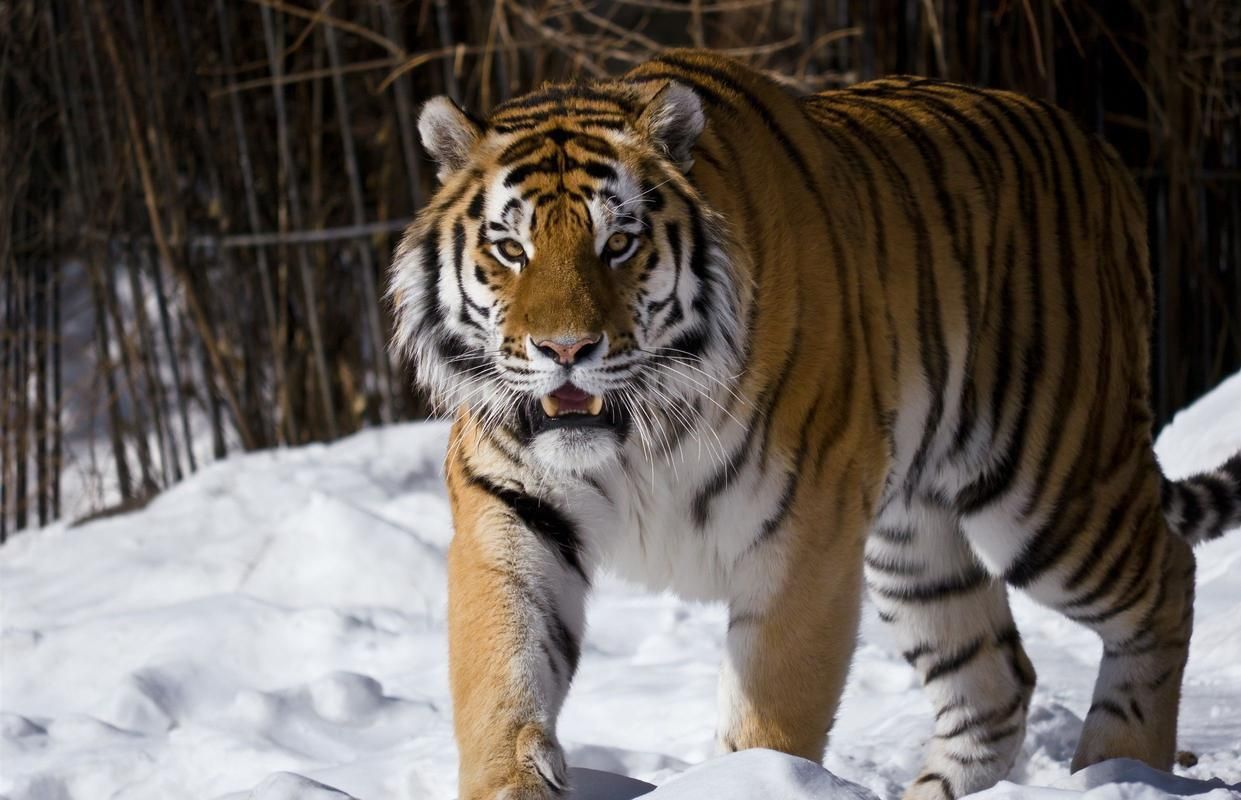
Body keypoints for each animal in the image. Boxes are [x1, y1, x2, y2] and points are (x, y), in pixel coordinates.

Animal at [388, 49, 1241, 800]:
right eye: (510, 248)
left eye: (619, 243)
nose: (565, 350)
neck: (639, 433)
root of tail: (1102, 154)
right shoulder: (512, 509)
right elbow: (502, 678)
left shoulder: (803, 533)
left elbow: (772, 711)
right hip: (914, 540)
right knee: (994, 681)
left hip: (1047, 487)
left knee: (1165, 579)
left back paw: (1120, 768)